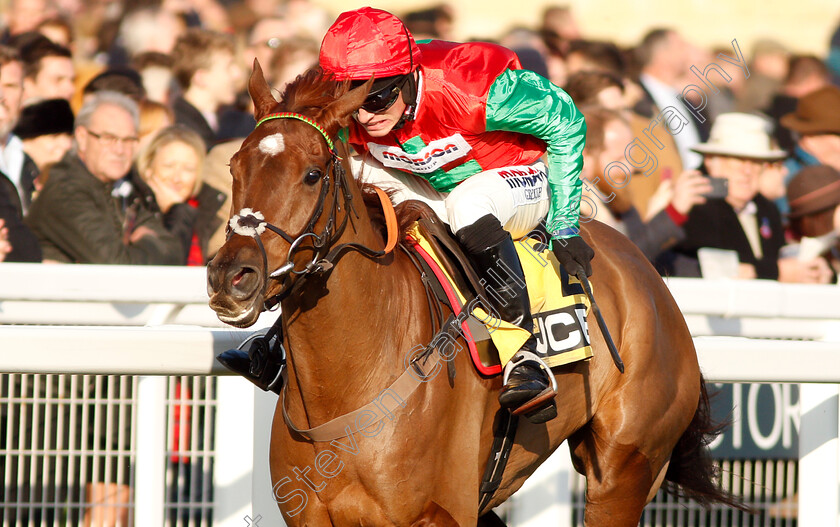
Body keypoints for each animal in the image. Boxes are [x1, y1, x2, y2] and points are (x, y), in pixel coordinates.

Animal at [207, 64, 740, 524]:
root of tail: (652, 279)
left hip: (624, 471)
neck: (346, 388)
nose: (231, 276)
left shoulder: (438, 513)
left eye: (312, 174)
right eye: (234, 167)